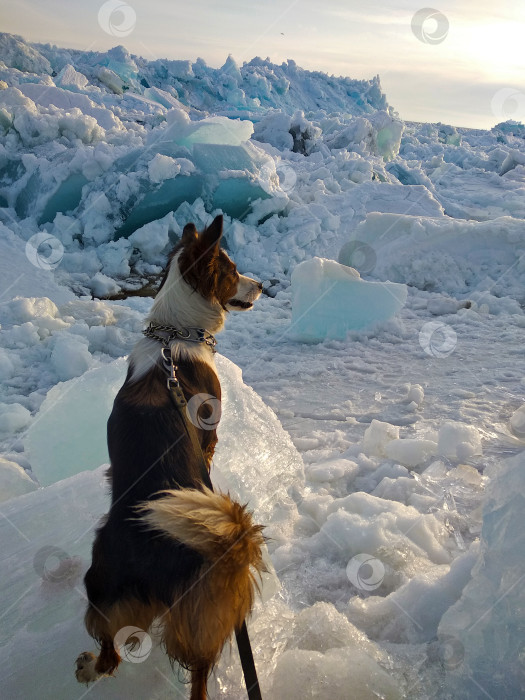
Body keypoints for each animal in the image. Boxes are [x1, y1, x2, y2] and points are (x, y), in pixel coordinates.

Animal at [75, 215, 264, 700]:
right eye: (232, 271)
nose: (262, 286)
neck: (173, 338)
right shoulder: (210, 437)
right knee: (128, 658)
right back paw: (91, 668)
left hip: (114, 589)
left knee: (124, 648)